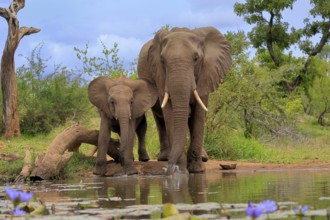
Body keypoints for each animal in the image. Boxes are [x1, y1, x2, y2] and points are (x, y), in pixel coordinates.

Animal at [137, 26, 232, 174]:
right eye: (162, 60)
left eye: (196, 58)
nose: (169, 169)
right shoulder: (160, 76)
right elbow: (170, 115)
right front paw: (181, 171)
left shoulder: (206, 74)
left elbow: (199, 115)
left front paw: (197, 170)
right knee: (160, 121)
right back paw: (165, 157)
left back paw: (203, 157)